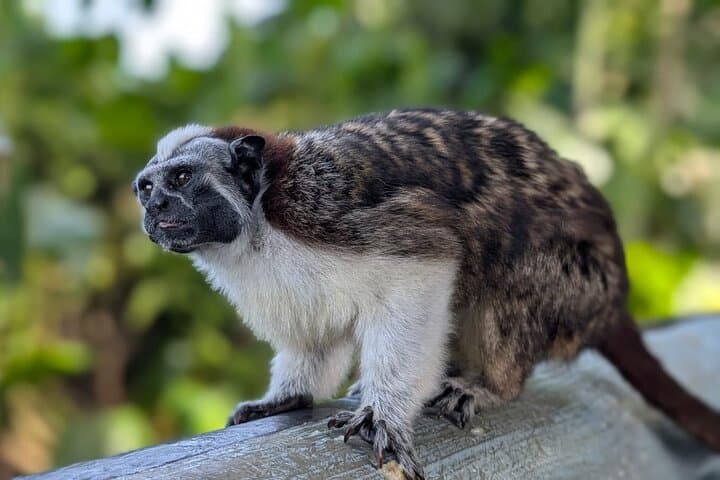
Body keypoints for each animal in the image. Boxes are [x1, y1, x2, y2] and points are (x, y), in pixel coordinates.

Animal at [133, 108, 720, 479]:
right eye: (146, 187)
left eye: (180, 179)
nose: (154, 209)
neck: (259, 224)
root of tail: (615, 296)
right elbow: (316, 338)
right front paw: (287, 396)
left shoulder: (325, 211)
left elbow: (428, 265)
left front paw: (383, 413)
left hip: (577, 284)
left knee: (510, 267)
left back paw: (490, 385)